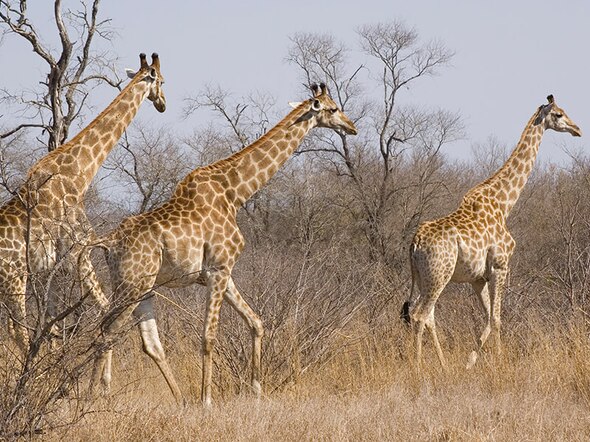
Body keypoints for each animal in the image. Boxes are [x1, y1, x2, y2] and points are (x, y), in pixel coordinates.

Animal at [0, 53, 166, 354]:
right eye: (161, 81)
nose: (162, 104)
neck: (78, 175)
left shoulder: (52, 266)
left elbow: (51, 327)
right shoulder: (79, 250)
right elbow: (102, 309)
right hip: (13, 280)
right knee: (18, 332)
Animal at [83, 81, 358, 406]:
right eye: (333, 108)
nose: (352, 127)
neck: (235, 193)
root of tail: (109, 242)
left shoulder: (223, 273)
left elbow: (256, 322)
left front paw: (256, 391)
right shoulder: (218, 270)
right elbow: (208, 337)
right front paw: (207, 401)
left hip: (141, 286)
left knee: (148, 343)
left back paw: (179, 400)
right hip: (132, 284)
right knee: (105, 332)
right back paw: (92, 397)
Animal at [402, 96, 584, 370]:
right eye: (559, 114)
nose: (577, 129)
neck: (503, 203)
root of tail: (415, 242)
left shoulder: (479, 278)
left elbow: (489, 317)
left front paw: (470, 362)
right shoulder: (500, 265)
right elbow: (497, 319)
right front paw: (499, 363)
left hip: (424, 276)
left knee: (425, 313)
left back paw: (444, 365)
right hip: (439, 274)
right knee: (419, 314)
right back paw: (418, 366)